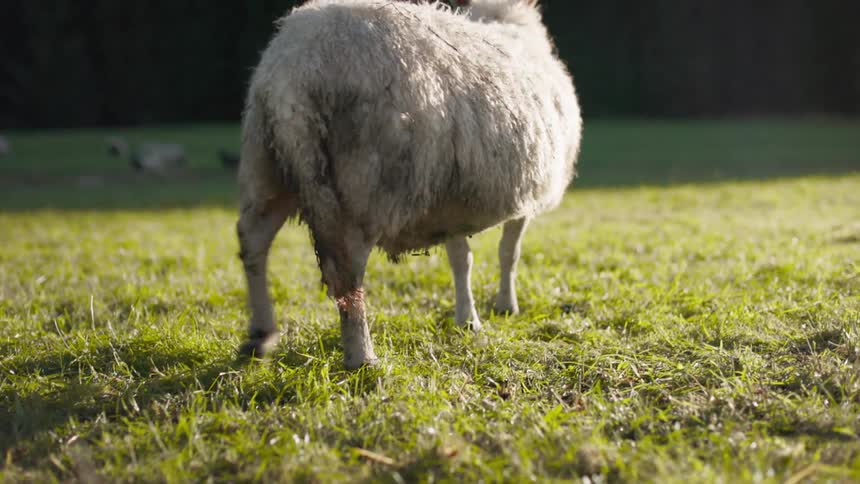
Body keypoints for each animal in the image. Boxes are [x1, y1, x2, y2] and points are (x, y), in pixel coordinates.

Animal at [236, 0, 582, 369]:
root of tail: (296, 71)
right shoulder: (525, 197)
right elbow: (509, 253)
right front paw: (505, 306)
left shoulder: (450, 198)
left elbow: (462, 259)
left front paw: (468, 320)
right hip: (364, 184)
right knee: (347, 266)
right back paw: (362, 355)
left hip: (266, 164)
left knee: (253, 239)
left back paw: (260, 334)